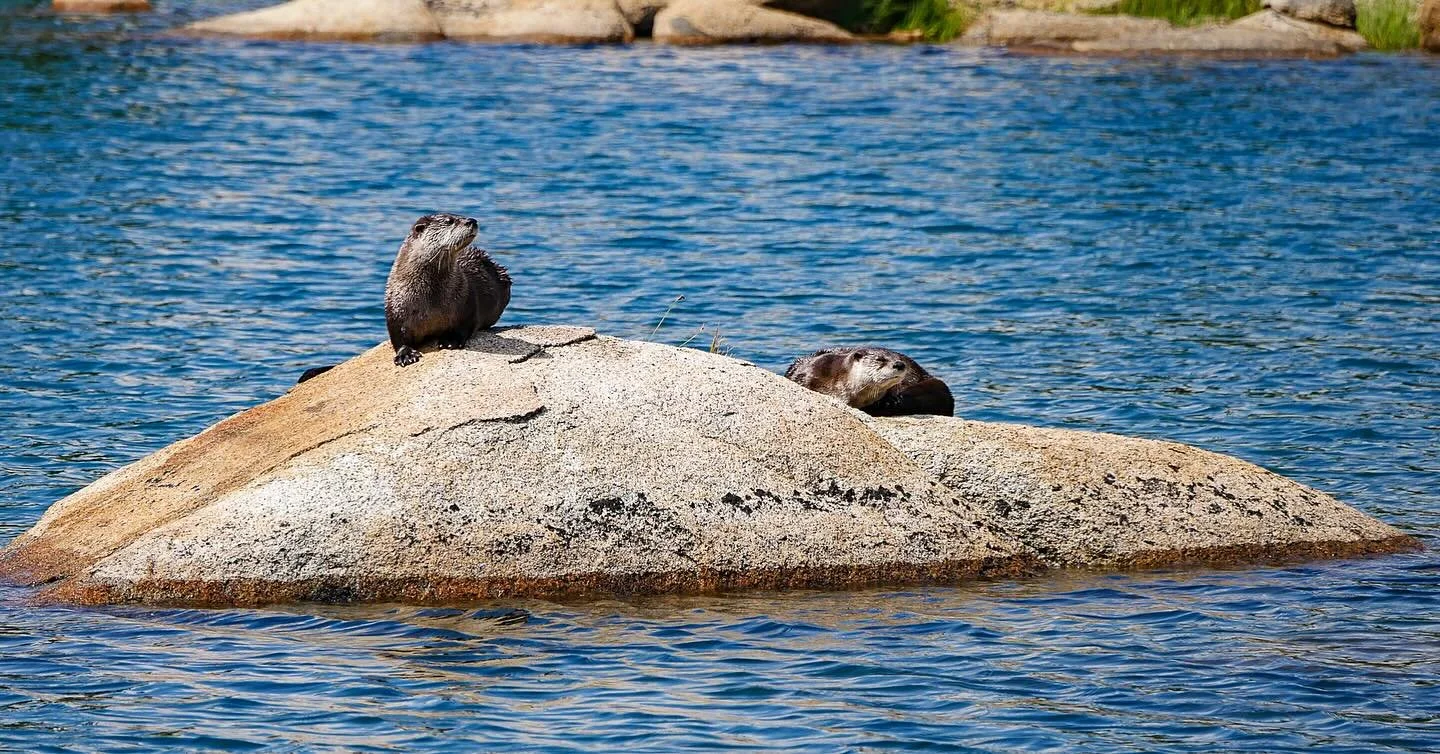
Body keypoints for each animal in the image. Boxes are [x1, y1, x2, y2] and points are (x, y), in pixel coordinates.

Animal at [385, 213, 511, 367]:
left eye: (461, 215)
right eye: (449, 221)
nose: (472, 221)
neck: (431, 301)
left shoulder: (466, 300)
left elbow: (466, 325)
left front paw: (450, 340)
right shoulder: (395, 309)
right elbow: (397, 337)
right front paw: (406, 354)